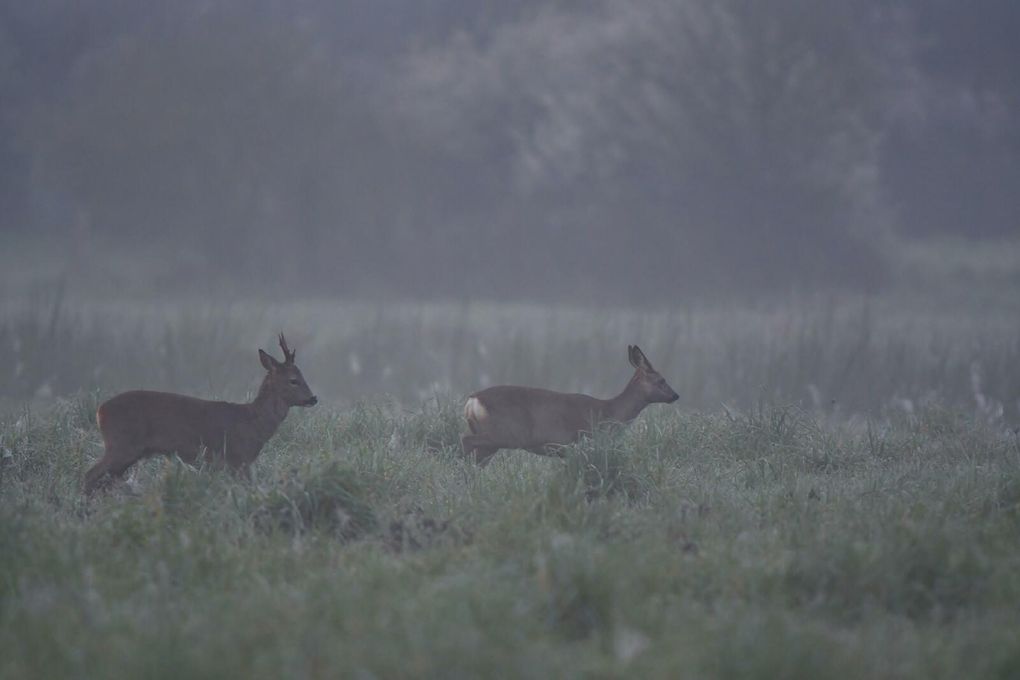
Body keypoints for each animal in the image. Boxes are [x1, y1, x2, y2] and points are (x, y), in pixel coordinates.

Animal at [82, 334, 314, 495]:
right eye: (294, 380)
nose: (314, 398)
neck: (254, 423)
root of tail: (100, 411)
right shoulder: (237, 459)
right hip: (121, 444)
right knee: (90, 475)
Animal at [463, 342, 677, 464]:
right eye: (661, 380)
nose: (676, 395)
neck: (610, 412)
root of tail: (472, 400)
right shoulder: (583, 440)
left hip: (491, 440)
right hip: (506, 434)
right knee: (466, 440)